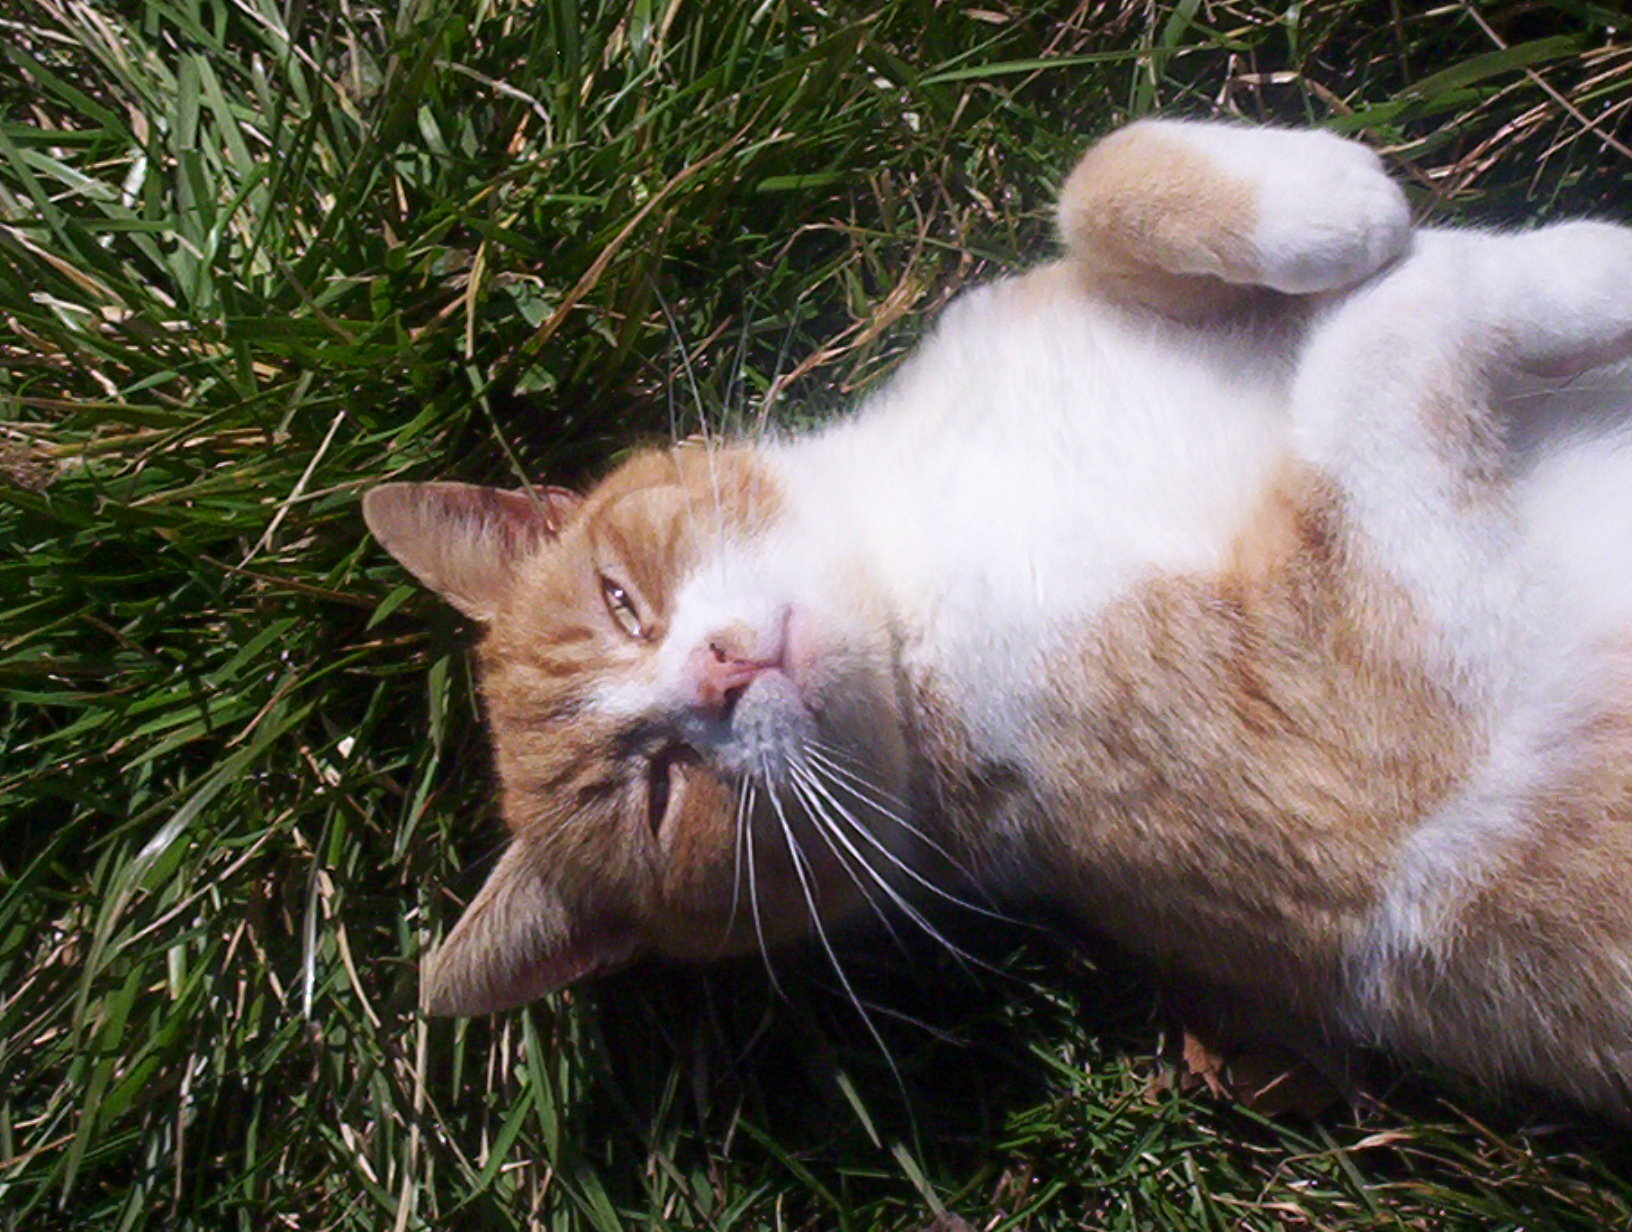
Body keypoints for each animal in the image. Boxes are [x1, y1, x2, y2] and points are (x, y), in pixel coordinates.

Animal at [363, 118, 1632, 1116]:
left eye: (623, 599)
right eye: (663, 793)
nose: (717, 670)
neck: (914, 544)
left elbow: (1101, 177)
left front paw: (1337, 198)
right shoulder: (1399, 666)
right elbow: (1385, 336)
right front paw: (1594, 264)